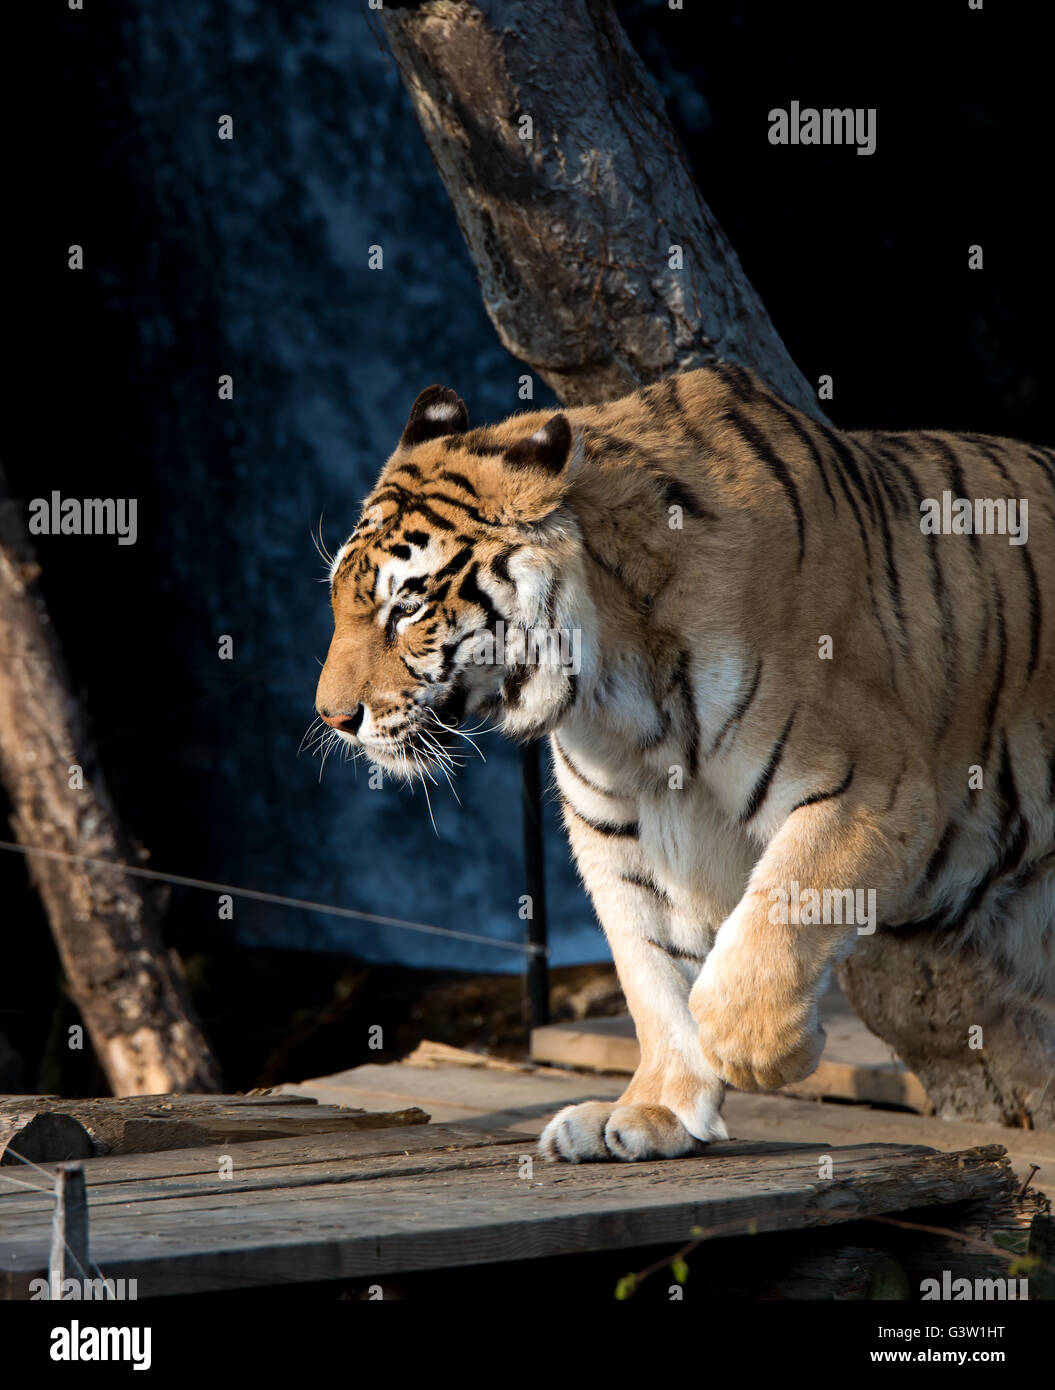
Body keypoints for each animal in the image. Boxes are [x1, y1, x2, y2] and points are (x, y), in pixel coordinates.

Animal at [314, 365, 1055, 1162]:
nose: (332, 717)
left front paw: (763, 1053)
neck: (611, 689)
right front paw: (655, 1109)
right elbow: (653, 972)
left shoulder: (873, 788)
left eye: (406, 609)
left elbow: (778, 914)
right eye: (338, 600)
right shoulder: (619, 835)